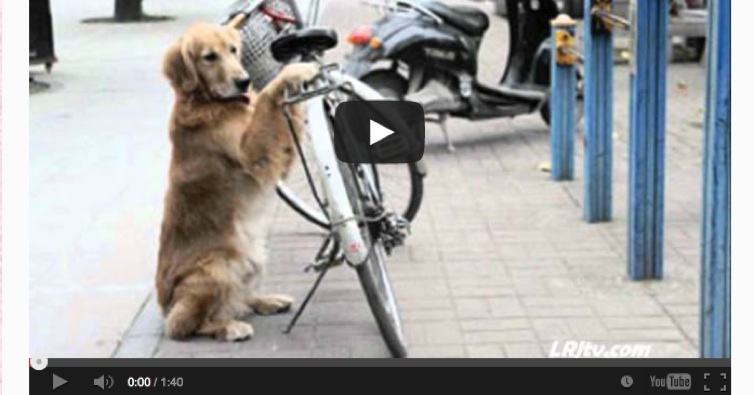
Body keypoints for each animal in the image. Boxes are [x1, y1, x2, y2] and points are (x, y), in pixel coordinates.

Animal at [156, 22, 314, 344]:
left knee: (241, 300)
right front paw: (294, 72)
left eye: (232, 50)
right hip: (216, 269)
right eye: (209, 57)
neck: (206, 100)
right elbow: (267, 96)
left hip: (256, 256)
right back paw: (229, 327)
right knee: (184, 325)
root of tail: (164, 307)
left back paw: (267, 301)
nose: (244, 81)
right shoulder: (253, 152)